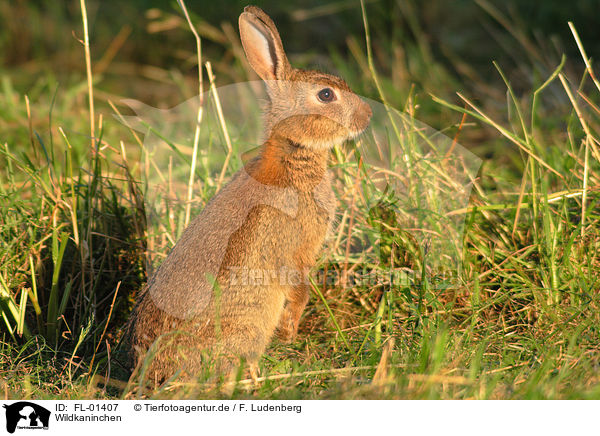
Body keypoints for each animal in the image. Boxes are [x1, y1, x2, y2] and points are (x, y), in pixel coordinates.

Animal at [126, 5, 370, 384]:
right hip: (246, 327)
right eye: (326, 95)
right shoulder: (297, 251)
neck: (293, 153)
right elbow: (298, 288)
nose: (367, 116)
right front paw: (290, 332)